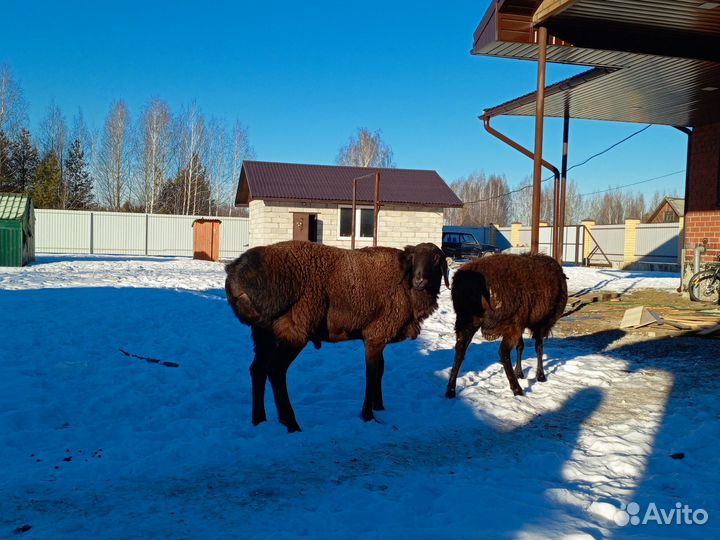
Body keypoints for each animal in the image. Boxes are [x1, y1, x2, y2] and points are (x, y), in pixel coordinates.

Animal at [226, 239, 450, 430]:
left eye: (436, 259)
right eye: (413, 258)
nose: (420, 280)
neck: (407, 288)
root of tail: (235, 275)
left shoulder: (378, 337)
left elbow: (380, 371)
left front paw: (379, 407)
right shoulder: (375, 334)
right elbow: (372, 374)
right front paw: (368, 416)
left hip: (264, 333)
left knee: (257, 370)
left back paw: (259, 420)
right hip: (294, 330)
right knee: (275, 370)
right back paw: (291, 424)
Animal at [444, 253, 568, 396]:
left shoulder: (522, 322)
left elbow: (521, 346)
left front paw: (519, 372)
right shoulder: (540, 322)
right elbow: (538, 348)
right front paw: (540, 375)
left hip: (467, 319)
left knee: (460, 349)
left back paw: (450, 389)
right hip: (509, 321)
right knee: (503, 352)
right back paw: (517, 389)